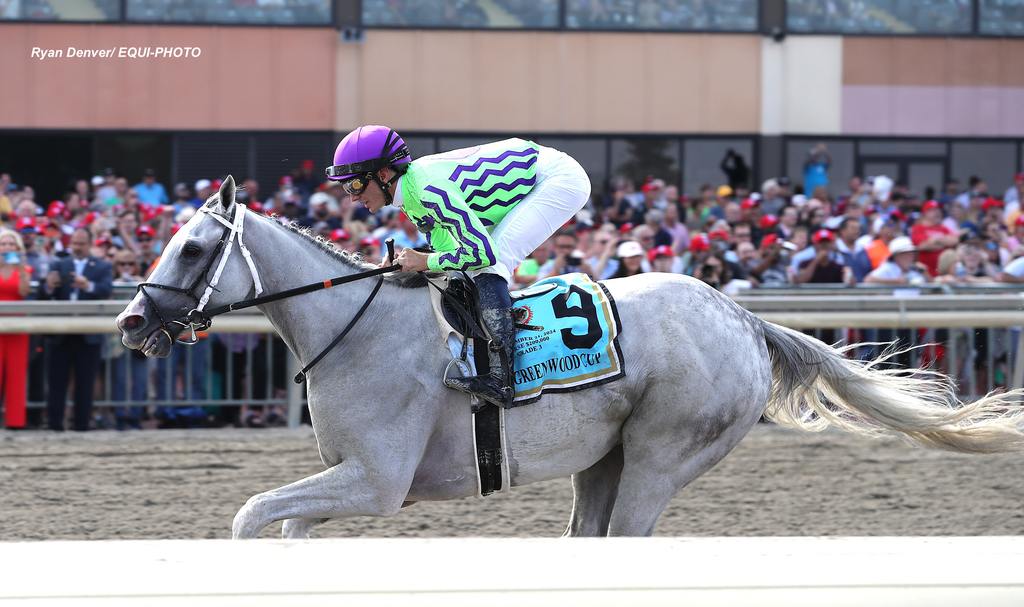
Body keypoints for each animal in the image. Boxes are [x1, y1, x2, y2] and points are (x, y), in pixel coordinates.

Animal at [116, 177, 1024, 536]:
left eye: (192, 247)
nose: (129, 320)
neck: (353, 324)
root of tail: (741, 315)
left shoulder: (377, 482)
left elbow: (249, 513)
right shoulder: (344, 480)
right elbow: (281, 521)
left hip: (662, 455)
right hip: (604, 460)